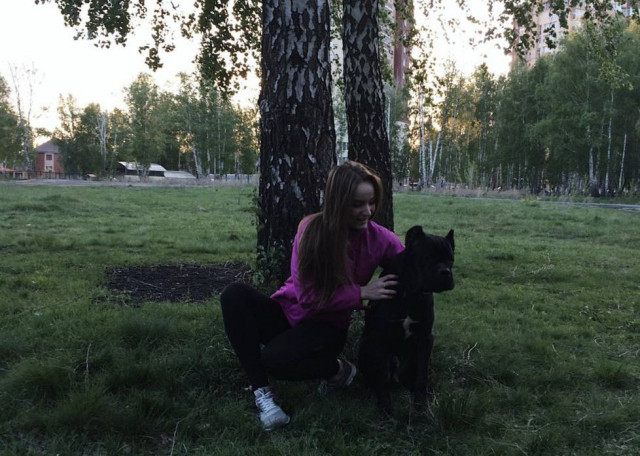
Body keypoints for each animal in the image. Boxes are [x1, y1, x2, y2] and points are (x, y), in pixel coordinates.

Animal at [358, 226, 455, 416]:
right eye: (428, 257)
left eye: (451, 259)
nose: (446, 272)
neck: (410, 292)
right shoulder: (380, 338)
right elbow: (381, 375)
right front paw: (385, 405)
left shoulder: (425, 337)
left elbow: (422, 373)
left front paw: (421, 402)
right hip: (365, 345)